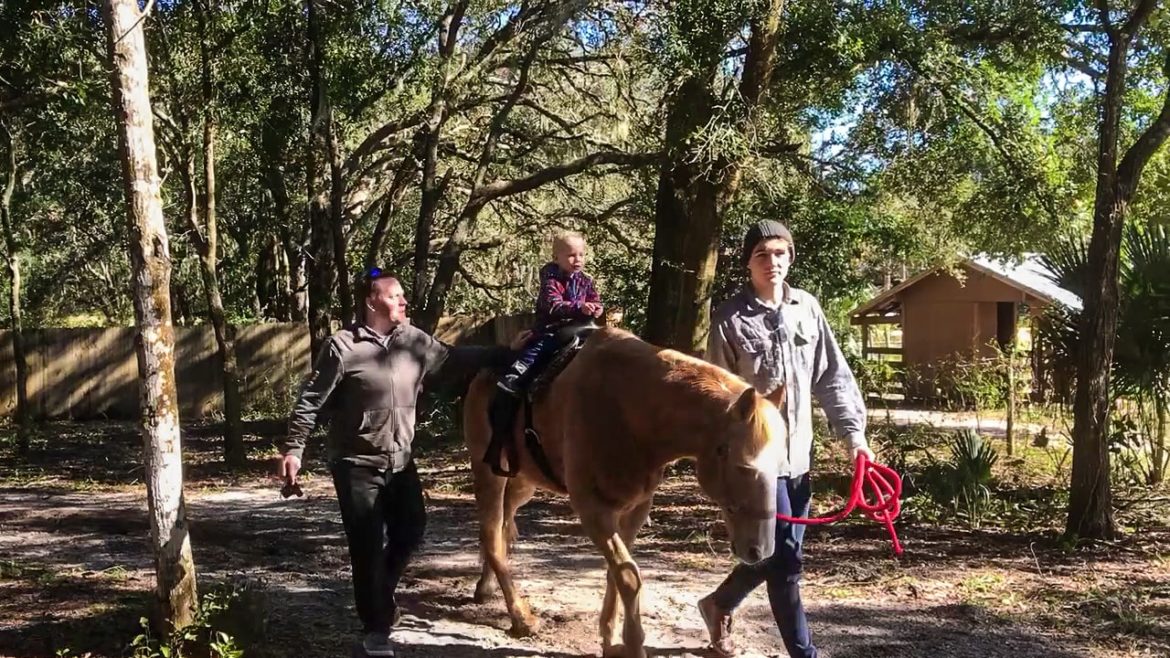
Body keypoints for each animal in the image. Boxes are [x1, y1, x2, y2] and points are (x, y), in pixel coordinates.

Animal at [458, 325, 786, 655]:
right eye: (744, 466)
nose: (760, 550)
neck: (631, 409)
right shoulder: (593, 510)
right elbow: (628, 575)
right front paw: (632, 644)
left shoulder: (634, 509)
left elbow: (615, 573)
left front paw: (609, 637)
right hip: (490, 475)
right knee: (492, 535)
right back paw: (522, 618)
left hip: (523, 483)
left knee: (502, 528)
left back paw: (487, 588)